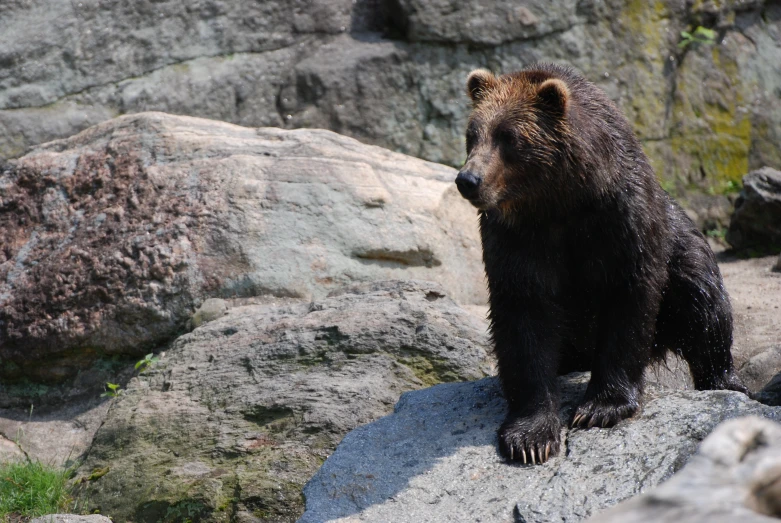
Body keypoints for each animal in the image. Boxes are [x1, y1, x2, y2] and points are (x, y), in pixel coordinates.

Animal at [458, 63, 748, 464]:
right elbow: (523, 314)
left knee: (703, 301)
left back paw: (725, 381)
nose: (468, 179)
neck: (559, 201)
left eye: (509, 137)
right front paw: (530, 436)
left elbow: (628, 300)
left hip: (683, 249)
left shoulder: (620, 218)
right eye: (472, 134)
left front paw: (601, 407)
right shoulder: (516, 236)